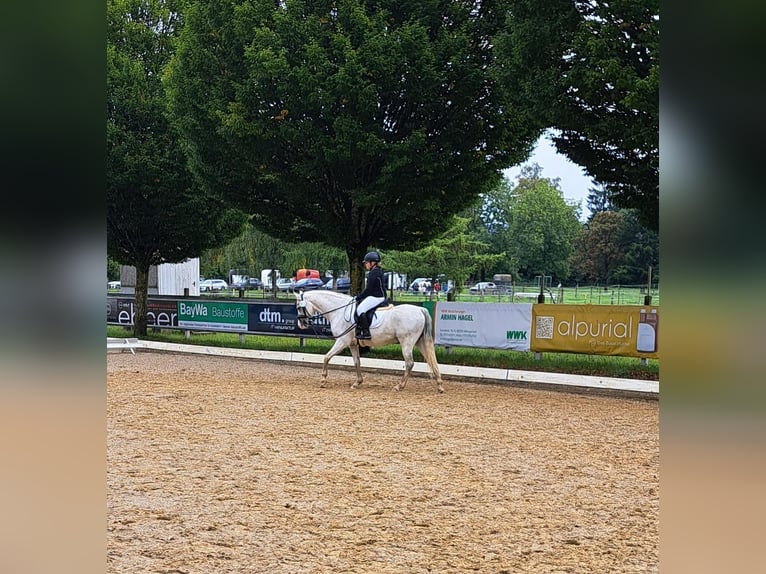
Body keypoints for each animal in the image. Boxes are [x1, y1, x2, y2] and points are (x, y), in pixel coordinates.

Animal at [295, 290, 445, 393]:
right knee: (431, 360)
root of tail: (419, 309)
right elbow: (357, 362)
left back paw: (399, 386)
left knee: (409, 363)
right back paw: (439, 385)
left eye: (299, 307)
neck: (339, 311)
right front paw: (357, 383)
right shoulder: (352, 344)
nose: (301, 324)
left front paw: (323, 380)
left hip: (406, 343)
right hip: (419, 342)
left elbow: (326, 357)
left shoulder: (342, 342)